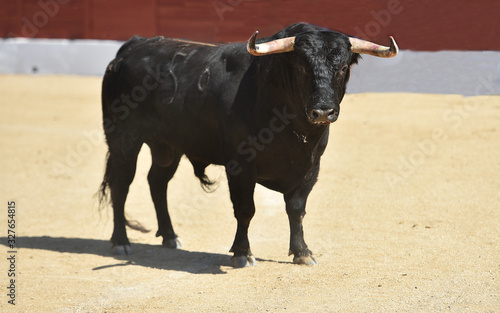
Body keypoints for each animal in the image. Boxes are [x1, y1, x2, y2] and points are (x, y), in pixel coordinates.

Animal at [96, 22, 398, 266]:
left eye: (343, 67)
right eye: (301, 66)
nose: (323, 111)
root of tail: (132, 46)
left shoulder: (311, 167)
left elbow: (296, 209)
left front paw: (302, 253)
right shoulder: (240, 165)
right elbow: (245, 209)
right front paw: (242, 253)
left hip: (168, 147)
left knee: (157, 181)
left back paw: (170, 237)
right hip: (123, 139)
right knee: (122, 184)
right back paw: (121, 242)